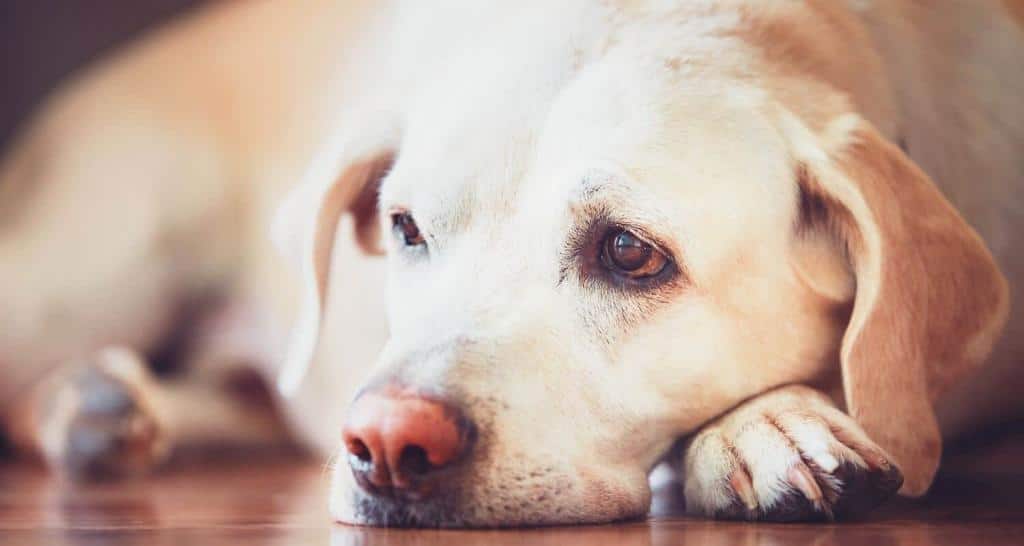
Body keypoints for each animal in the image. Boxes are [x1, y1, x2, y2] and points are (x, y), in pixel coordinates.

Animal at [0, 0, 1019, 528]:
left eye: (628, 252)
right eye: (405, 227)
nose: (385, 443)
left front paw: (767, 422)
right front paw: (765, 426)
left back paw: (103, 409)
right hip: (88, 275)